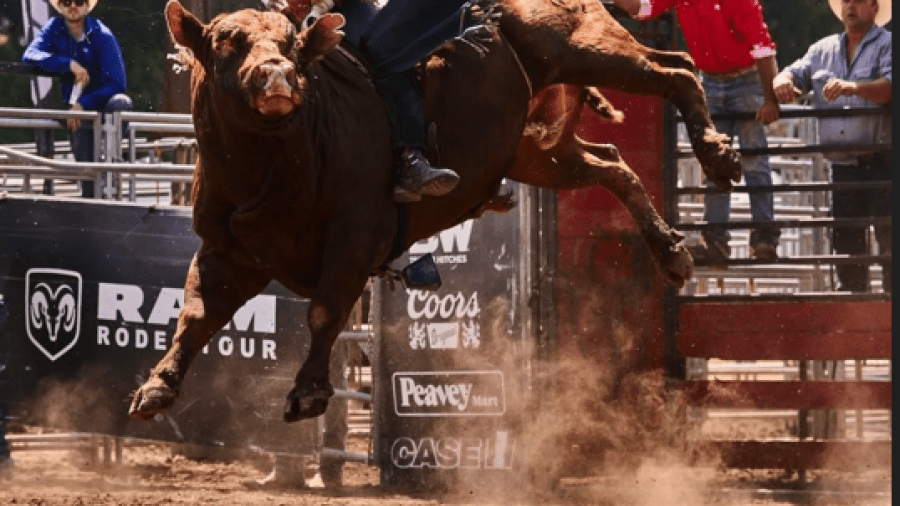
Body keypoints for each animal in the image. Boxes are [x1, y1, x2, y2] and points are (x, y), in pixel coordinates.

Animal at [129, 0, 739, 423]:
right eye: (225, 41)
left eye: (293, 45)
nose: (278, 74)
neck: (273, 165)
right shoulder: (225, 251)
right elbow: (195, 313)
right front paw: (157, 386)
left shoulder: (354, 239)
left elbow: (325, 312)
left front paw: (308, 392)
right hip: (536, 152)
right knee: (613, 163)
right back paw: (671, 251)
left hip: (583, 45)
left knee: (676, 70)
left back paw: (716, 152)